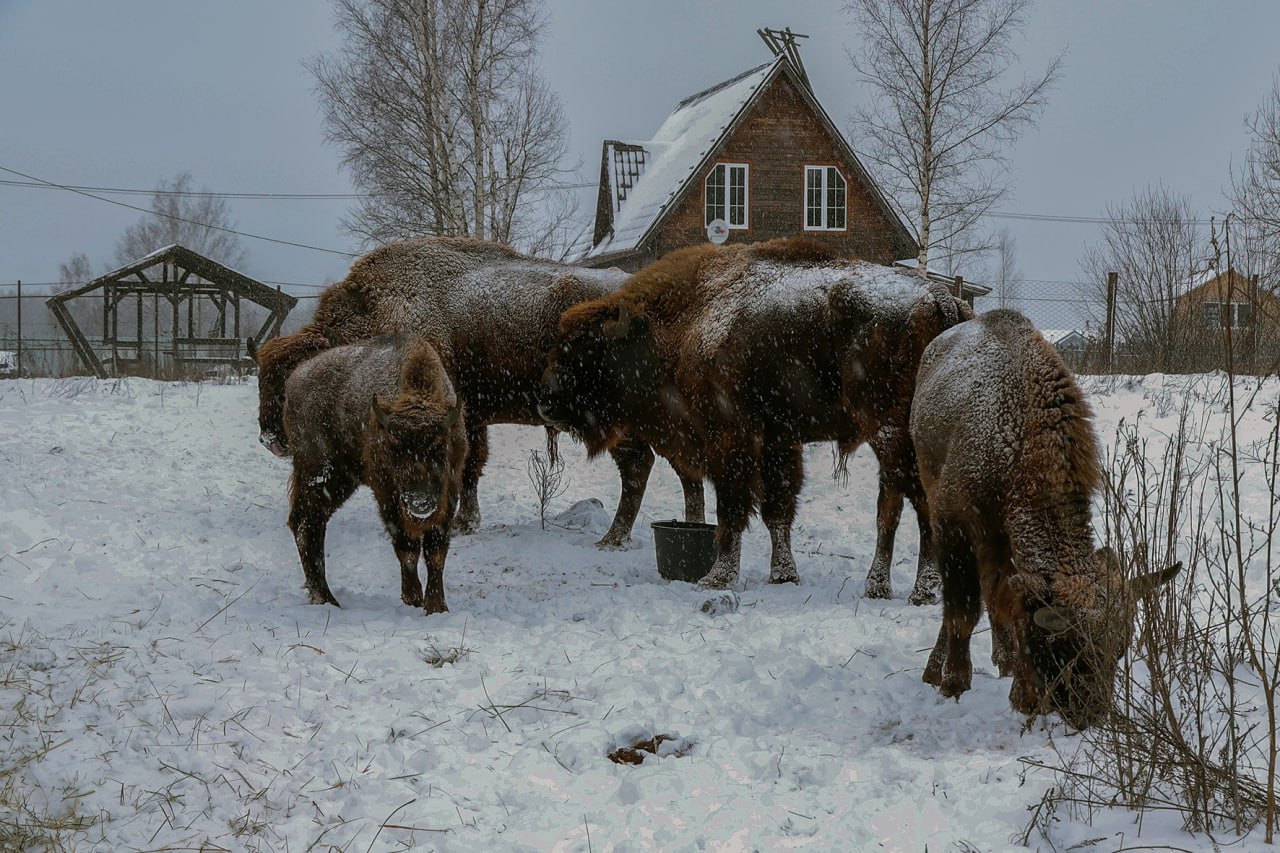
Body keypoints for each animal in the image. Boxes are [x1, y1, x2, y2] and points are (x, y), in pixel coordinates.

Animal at [253, 235, 706, 548]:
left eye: (286, 387)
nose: (269, 438)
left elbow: (465, 466)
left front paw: (457, 522)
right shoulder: (471, 417)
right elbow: (472, 467)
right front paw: (466, 520)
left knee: (639, 466)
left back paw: (614, 538)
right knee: (678, 468)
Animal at [282, 333, 468, 612]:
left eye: (439, 446)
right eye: (394, 447)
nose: (419, 502)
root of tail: (294, 381)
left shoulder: (450, 491)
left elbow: (436, 552)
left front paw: (436, 606)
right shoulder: (386, 493)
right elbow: (407, 550)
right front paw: (412, 599)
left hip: (340, 481)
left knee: (308, 521)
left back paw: (324, 596)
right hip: (317, 471)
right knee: (308, 524)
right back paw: (326, 598)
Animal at [535, 230, 962, 591]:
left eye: (585, 351)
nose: (545, 402)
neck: (681, 324)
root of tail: (939, 298)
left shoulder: (730, 440)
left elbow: (732, 508)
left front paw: (717, 577)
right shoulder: (778, 442)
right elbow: (777, 509)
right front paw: (784, 575)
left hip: (891, 433)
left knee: (916, 503)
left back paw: (918, 589)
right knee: (894, 504)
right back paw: (885, 586)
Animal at [911, 308, 1177, 727]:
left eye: (1120, 648)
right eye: (1064, 645)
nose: (1090, 713)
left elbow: (1007, 602)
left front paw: (1020, 688)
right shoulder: (954, 527)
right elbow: (962, 611)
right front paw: (952, 684)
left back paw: (1003, 661)